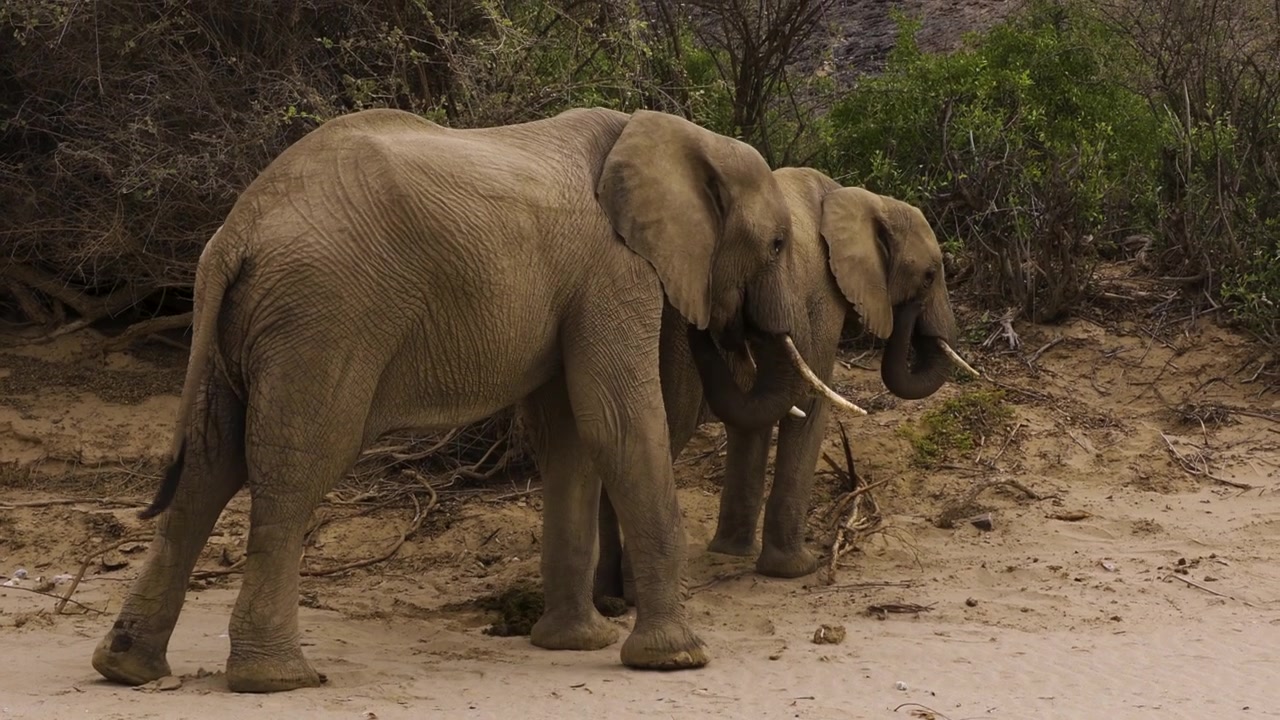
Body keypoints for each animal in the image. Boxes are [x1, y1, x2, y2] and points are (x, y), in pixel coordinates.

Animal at [89, 107, 856, 693]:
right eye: (778, 243)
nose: (722, 330)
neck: (669, 131)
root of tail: (237, 229)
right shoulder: (613, 272)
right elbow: (617, 423)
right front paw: (677, 660)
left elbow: (570, 436)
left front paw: (574, 644)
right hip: (322, 317)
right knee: (296, 465)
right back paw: (276, 680)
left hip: (243, 327)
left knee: (208, 467)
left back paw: (127, 667)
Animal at [594, 167, 973, 603]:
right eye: (929, 277)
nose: (909, 311)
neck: (864, 199)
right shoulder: (824, 294)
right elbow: (808, 403)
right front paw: (796, 570)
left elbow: (755, 410)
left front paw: (731, 553)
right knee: (671, 423)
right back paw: (637, 592)